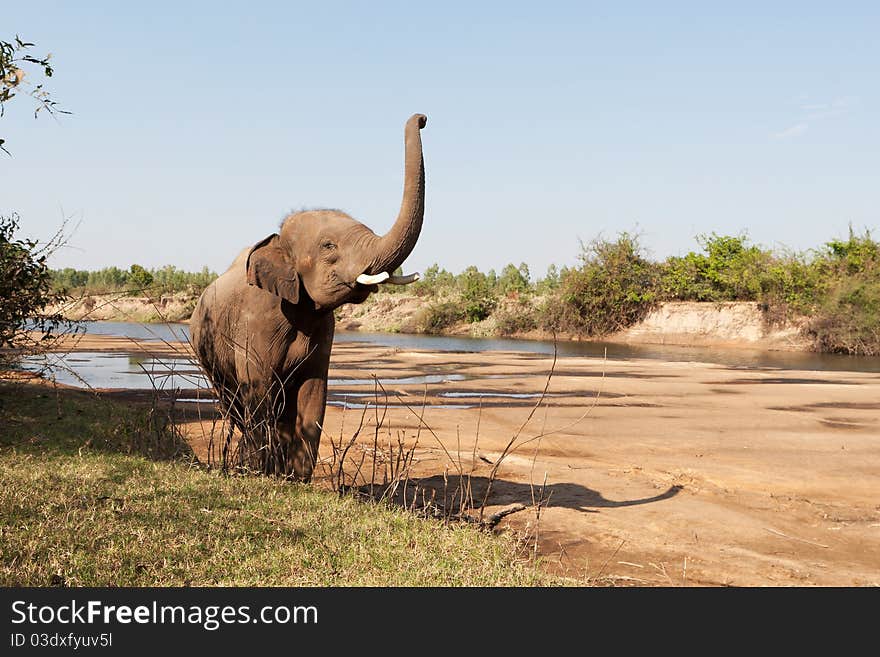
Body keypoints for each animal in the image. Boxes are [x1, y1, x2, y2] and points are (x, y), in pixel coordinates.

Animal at [191, 114, 428, 482]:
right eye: (329, 246)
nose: (422, 118)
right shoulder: (256, 323)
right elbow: (261, 390)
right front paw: (265, 473)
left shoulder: (322, 328)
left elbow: (313, 391)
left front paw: (296, 479)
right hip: (207, 354)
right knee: (235, 404)